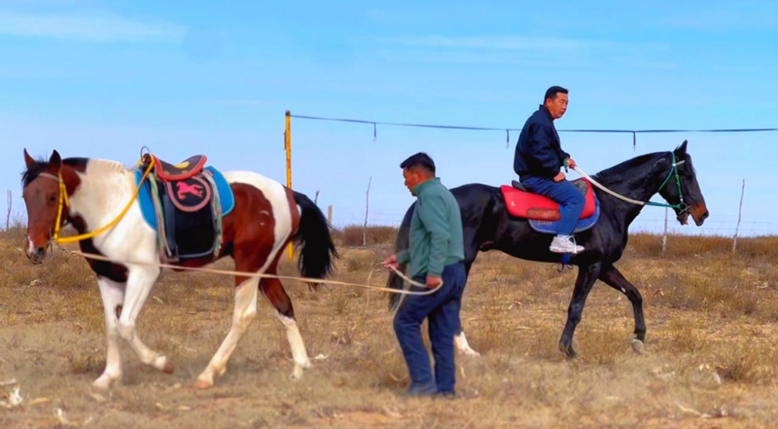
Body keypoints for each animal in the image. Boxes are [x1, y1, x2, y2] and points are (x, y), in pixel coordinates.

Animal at [21, 149, 334, 390]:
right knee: (284, 306)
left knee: (244, 315)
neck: (111, 205)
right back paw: (299, 368)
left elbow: (125, 326)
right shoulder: (108, 278)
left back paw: (209, 374)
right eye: (25, 196)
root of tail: (288, 193)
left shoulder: (143, 275)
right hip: (266, 267)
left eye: (52, 196)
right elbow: (112, 326)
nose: (35, 249)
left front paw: (161, 363)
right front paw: (109, 377)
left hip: (249, 266)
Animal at [384, 141, 708, 358]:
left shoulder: (603, 266)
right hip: (460, 261)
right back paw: (464, 349)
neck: (611, 204)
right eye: (686, 174)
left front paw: (639, 339)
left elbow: (635, 294)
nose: (702, 214)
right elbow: (576, 308)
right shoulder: (591, 266)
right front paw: (567, 349)